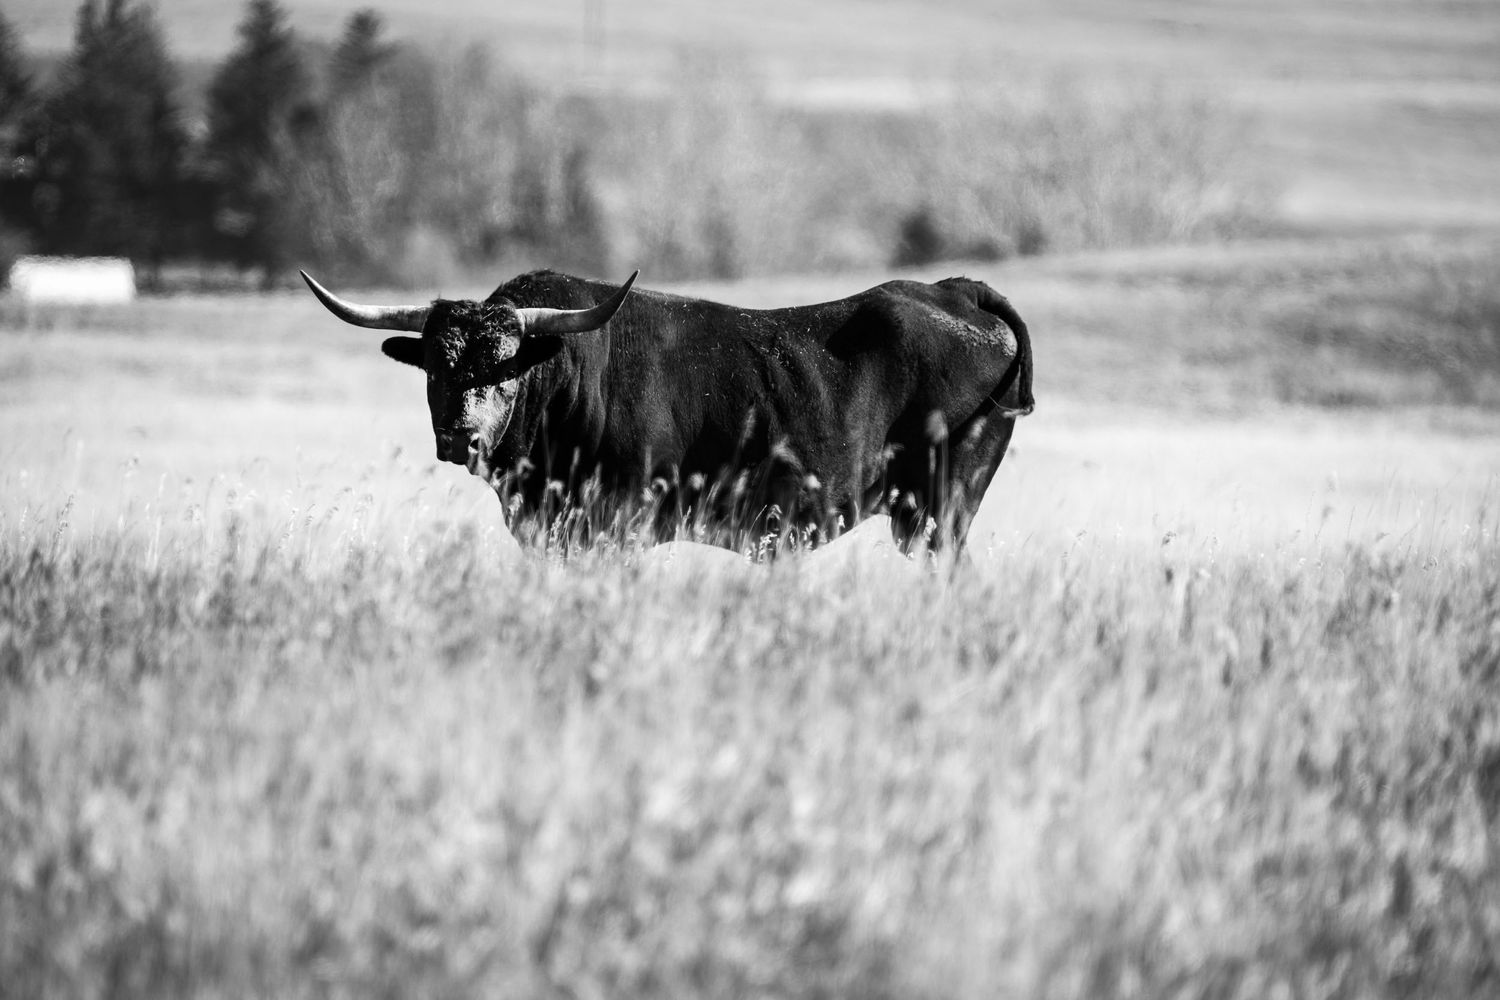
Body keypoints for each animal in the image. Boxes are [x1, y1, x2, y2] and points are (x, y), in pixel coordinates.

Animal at [302, 268, 1033, 554]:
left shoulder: (614, 523)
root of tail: (953, 290)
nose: (460, 436)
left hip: (940, 512)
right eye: (435, 369)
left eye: (507, 371)